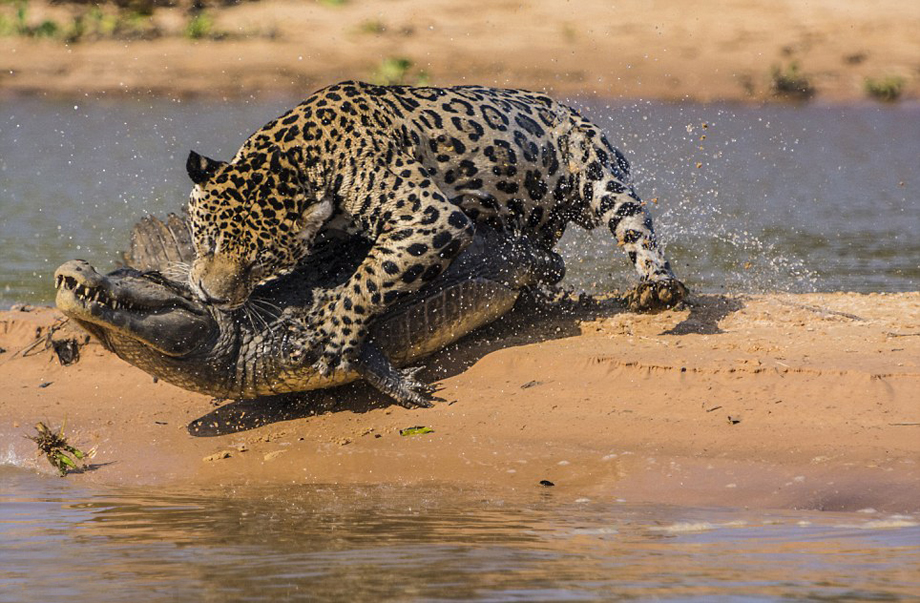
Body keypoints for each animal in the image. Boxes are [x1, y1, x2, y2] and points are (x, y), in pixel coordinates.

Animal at [184, 80, 687, 378]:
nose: (210, 295)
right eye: (206, 241)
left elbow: (370, 280)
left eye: (259, 263)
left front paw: (331, 333)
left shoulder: (432, 216)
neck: (298, 154)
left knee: (637, 231)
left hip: (600, 175)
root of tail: (570, 109)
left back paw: (658, 288)